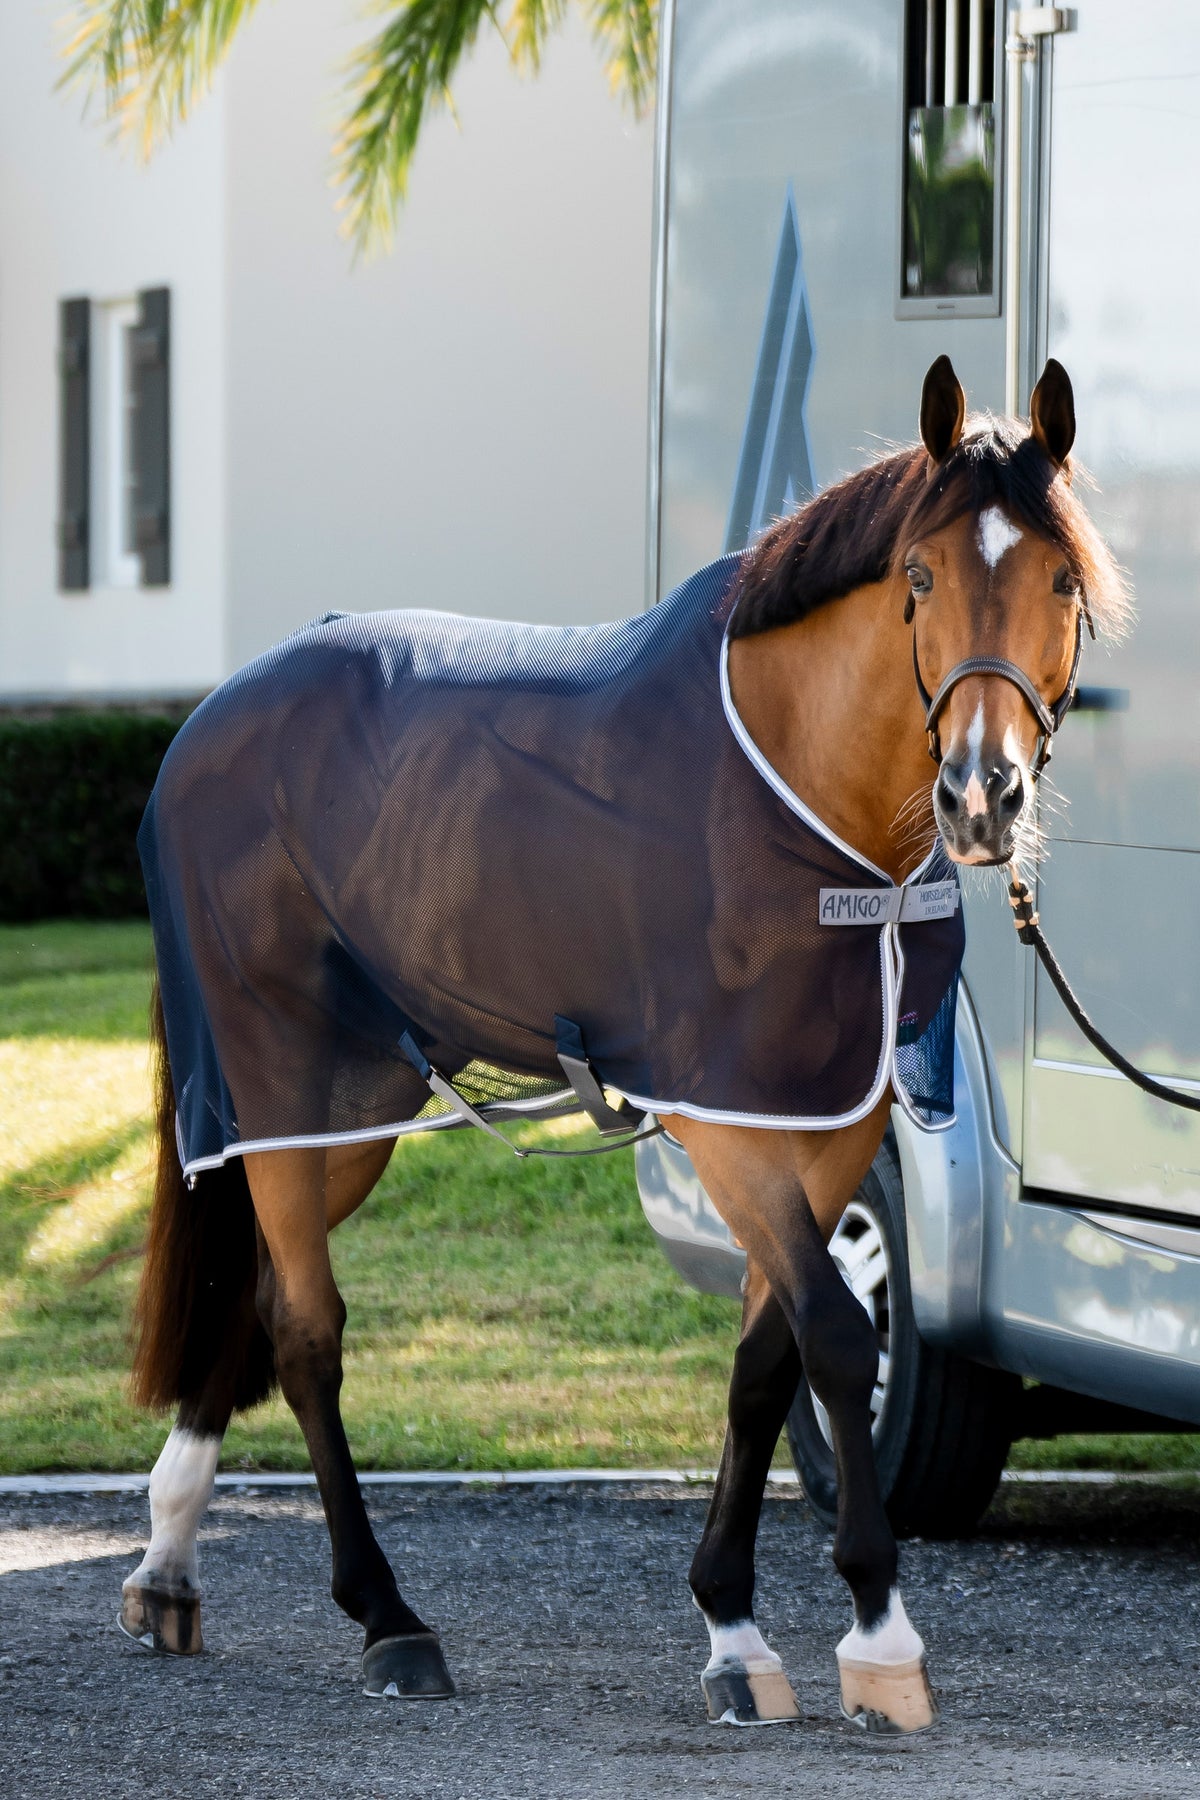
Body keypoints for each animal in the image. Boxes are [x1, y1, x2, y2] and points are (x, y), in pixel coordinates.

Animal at [119, 354, 1128, 1733]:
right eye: (920, 578)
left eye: (1062, 581)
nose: (983, 796)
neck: (796, 797)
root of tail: (210, 718)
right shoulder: (723, 1120)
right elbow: (837, 1333)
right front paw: (879, 1633)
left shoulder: (825, 1120)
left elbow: (765, 1360)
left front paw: (735, 1627)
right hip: (273, 1074)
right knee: (309, 1329)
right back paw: (388, 1619)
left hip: (351, 1103)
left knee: (260, 1299)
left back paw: (168, 1563)